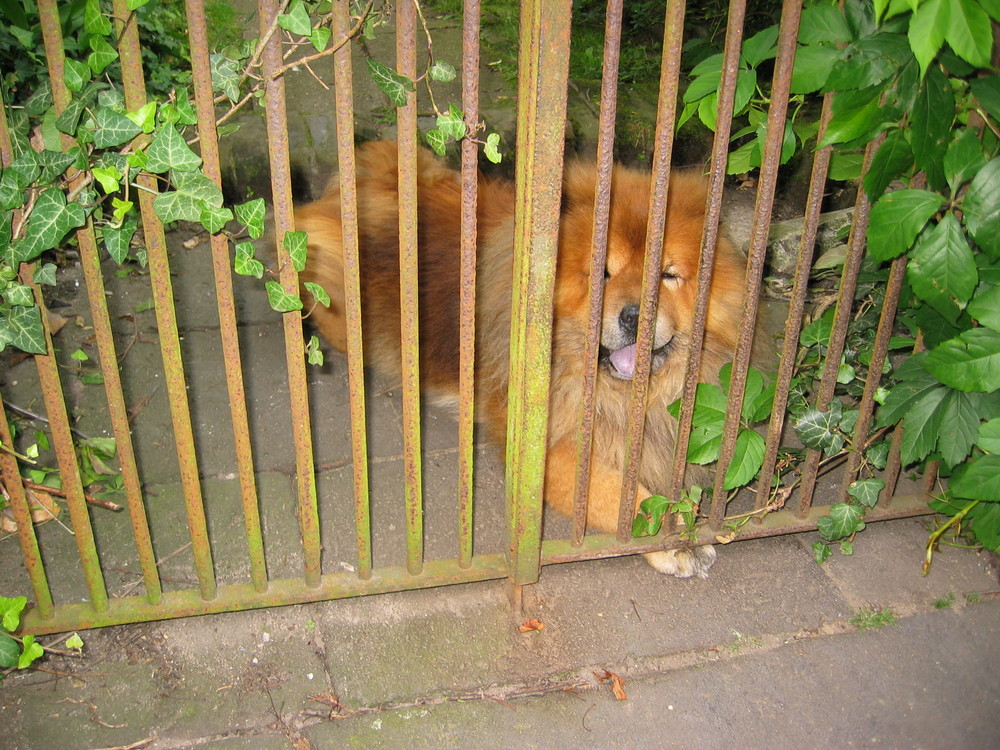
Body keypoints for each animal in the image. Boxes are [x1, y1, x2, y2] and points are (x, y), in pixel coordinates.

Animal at [292, 141, 748, 580]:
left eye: (668, 276)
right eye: (602, 273)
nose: (636, 316)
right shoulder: (546, 448)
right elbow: (615, 494)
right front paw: (674, 541)